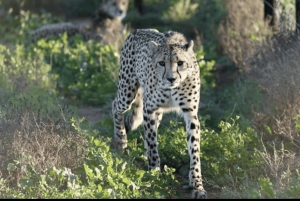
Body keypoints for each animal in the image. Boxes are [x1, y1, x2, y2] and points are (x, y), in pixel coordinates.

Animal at [111, 29, 207, 199]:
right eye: (162, 63)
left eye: (180, 63)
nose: (171, 78)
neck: (172, 89)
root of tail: (138, 30)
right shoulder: (149, 109)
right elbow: (152, 141)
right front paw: (154, 170)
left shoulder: (190, 114)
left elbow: (194, 150)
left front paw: (197, 184)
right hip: (127, 90)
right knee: (115, 106)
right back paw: (121, 140)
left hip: (156, 110)